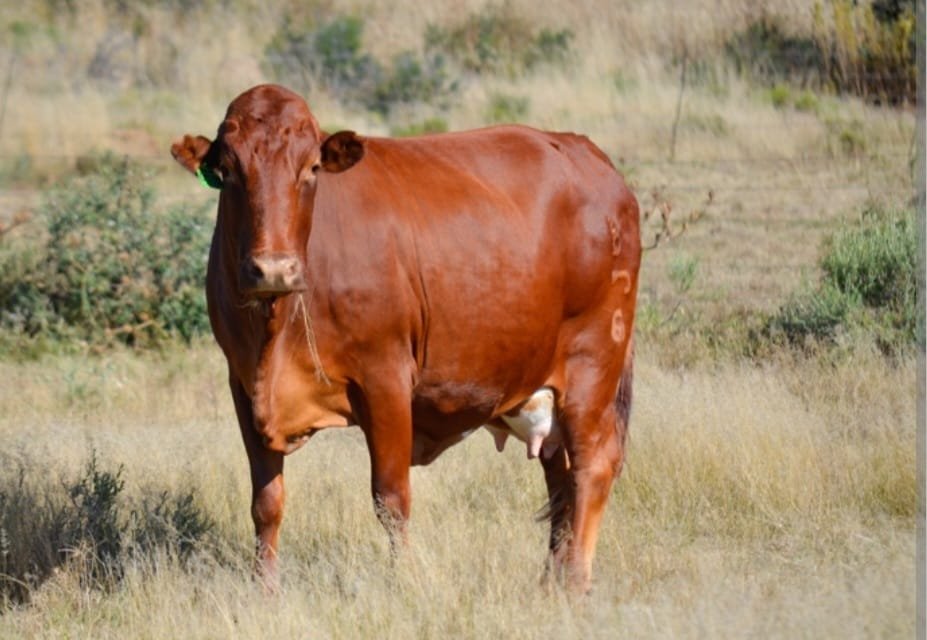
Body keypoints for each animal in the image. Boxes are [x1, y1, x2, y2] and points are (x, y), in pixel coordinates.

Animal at [171, 84, 640, 593]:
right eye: (227, 171)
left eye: (311, 168)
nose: (274, 269)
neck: (275, 334)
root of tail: (589, 156)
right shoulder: (243, 385)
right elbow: (266, 501)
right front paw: (265, 589)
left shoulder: (385, 379)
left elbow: (391, 499)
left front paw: (404, 582)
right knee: (560, 476)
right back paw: (549, 581)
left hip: (593, 362)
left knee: (592, 467)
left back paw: (573, 582)